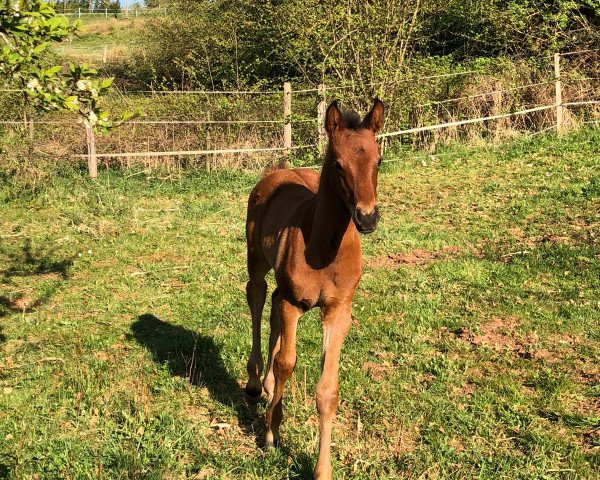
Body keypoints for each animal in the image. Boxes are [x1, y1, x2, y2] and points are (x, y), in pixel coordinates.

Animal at [245, 99, 382, 478]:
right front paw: (271, 435)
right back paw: (255, 381)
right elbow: (286, 363)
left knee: (272, 306)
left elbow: (327, 390)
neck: (323, 248)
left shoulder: (338, 311)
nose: (368, 217)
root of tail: (275, 173)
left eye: (379, 160)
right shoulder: (295, 304)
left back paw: (266, 385)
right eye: (338, 164)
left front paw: (323, 468)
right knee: (257, 297)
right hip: (256, 261)